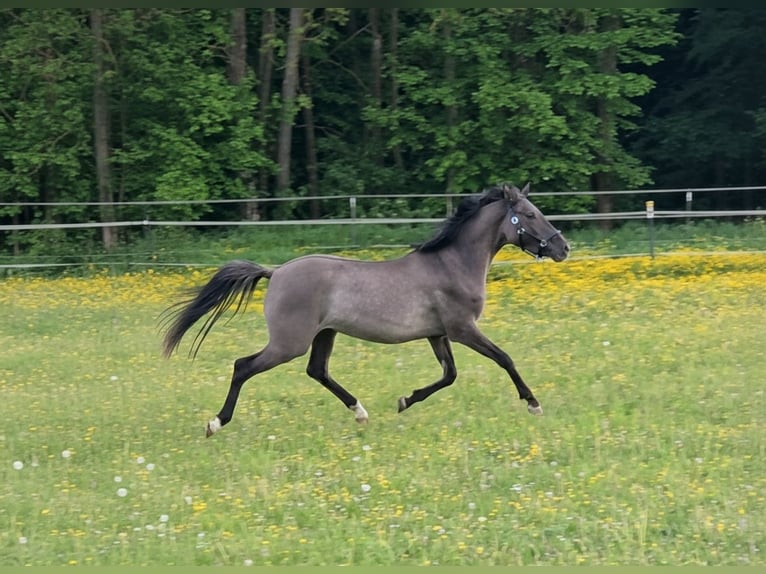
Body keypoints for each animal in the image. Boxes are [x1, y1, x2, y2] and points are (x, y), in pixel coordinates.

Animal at [160, 182, 570, 437]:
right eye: (529, 215)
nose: (563, 248)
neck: (451, 263)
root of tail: (275, 272)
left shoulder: (437, 334)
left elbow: (449, 375)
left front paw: (405, 401)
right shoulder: (462, 329)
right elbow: (504, 359)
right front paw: (533, 404)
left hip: (324, 334)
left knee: (317, 371)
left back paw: (360, 412)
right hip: (289, 342)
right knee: (243, 366)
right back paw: (215, 423)